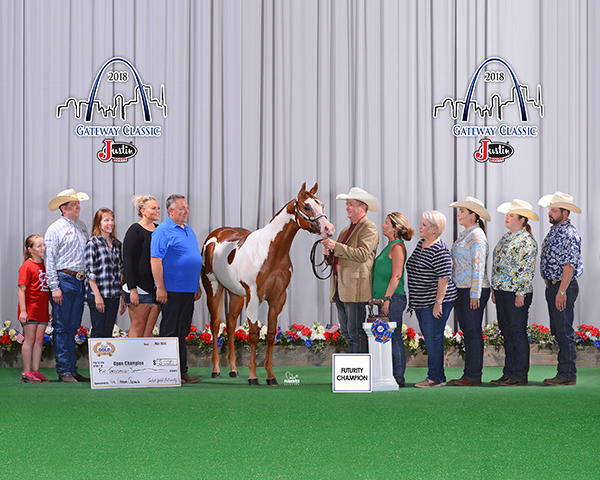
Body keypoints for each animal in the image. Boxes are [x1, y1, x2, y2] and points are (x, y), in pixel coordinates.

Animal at [200, 182, 332, 384]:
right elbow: (254, 335)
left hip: (236, 294)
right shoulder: (254, 297)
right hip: (213, 288)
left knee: (230, 323)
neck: (271, 252)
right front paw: (253, 377)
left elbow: (270, 335)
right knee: (215, 325)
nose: (329, 229)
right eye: (307, 206)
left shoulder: (278, 298)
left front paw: (271, 376)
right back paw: (216, 370)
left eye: (322, 205)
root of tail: (216, 235)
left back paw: (233, 369)